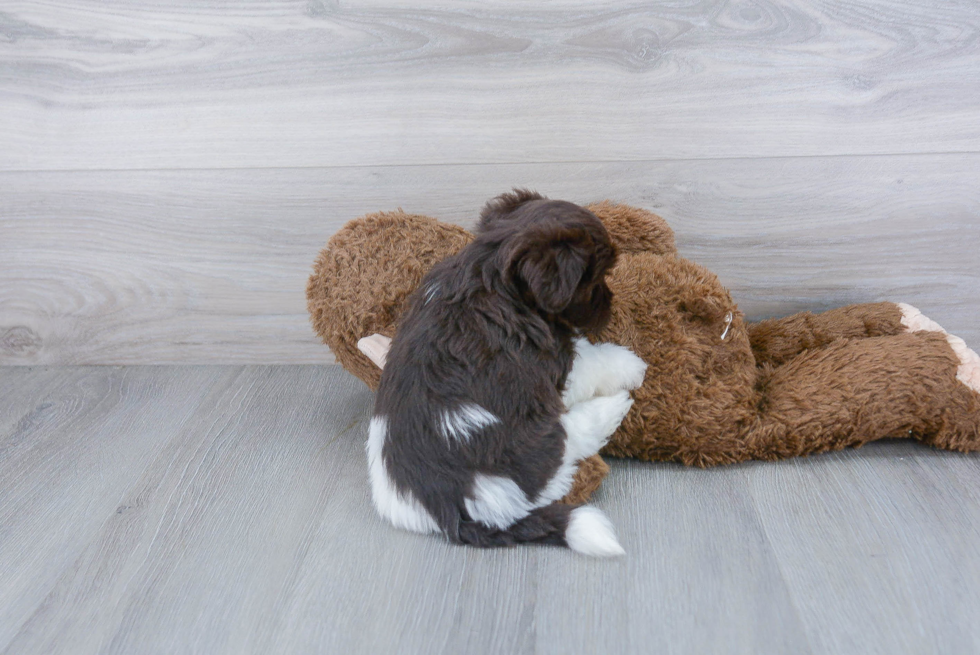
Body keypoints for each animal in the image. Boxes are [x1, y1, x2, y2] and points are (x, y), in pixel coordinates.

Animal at [364, 190, 648, 560]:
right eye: (596, 278)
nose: (610, 305)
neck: (490, 270)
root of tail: (447, 508)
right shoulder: (553, 361)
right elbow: (594, 360)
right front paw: (632, 365)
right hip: (537, 443)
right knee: (571, 442)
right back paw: (613, 407)